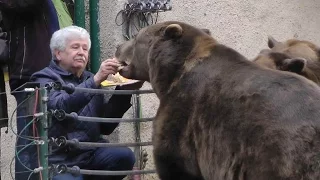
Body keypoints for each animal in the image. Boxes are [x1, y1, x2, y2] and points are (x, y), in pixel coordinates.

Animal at [116, 21, 320, 180]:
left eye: (135, 38)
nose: (118, 46)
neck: (170, 75)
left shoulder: (183, 116)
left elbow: (174, 162)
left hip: (281, 155)